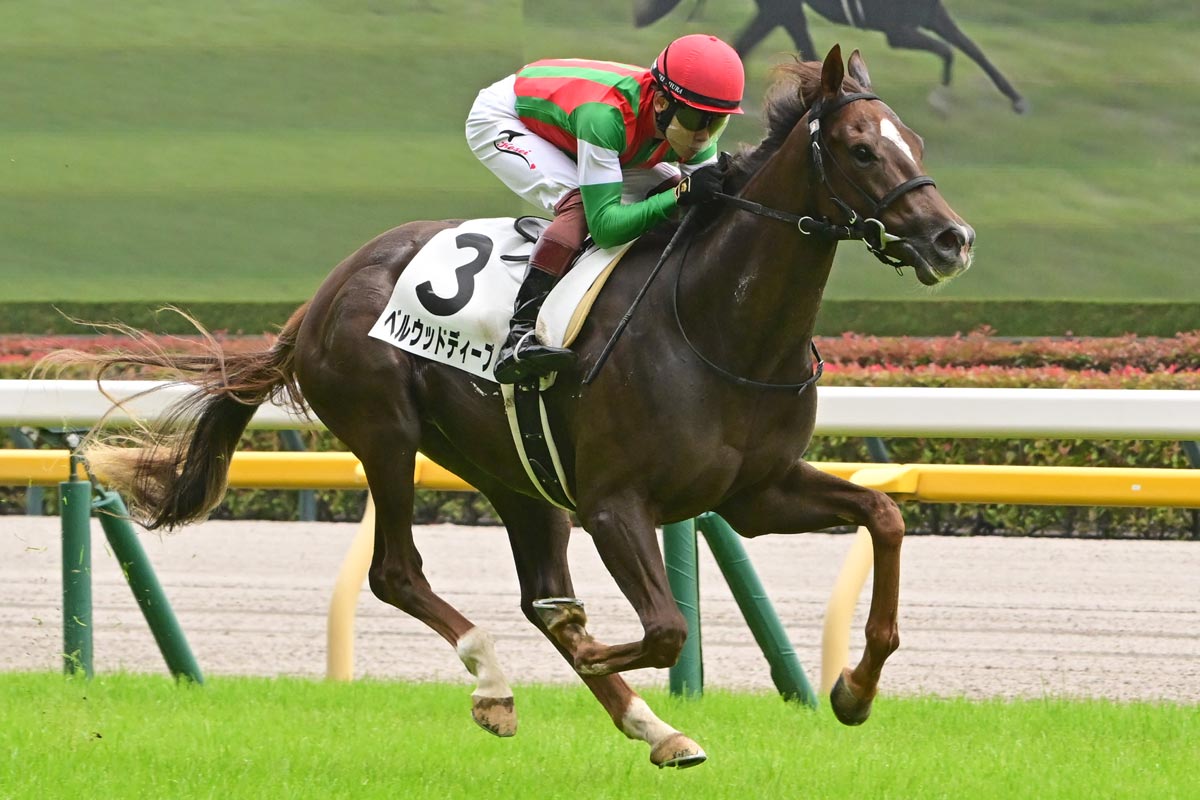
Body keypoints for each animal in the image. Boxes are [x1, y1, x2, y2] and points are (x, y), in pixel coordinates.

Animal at [72, 46, 973, 769]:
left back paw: (655, 729)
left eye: (918, 144)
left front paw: (853, 690)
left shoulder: (756, 493)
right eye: (861, 149)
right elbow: (664, 628)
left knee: (538, 594)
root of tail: (321, 296)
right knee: (400, 572)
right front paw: (602, 654)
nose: (950, 240)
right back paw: (498, 687)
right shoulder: (615, 503)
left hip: (517, 475)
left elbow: (886, 518)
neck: (722, 324)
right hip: (387, 431)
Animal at [634, 0, 1028, 113]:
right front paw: (941, 97)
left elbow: (970, 47)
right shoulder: (898, 30)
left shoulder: (929, 15)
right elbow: (950, 49)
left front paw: (1017, 99)